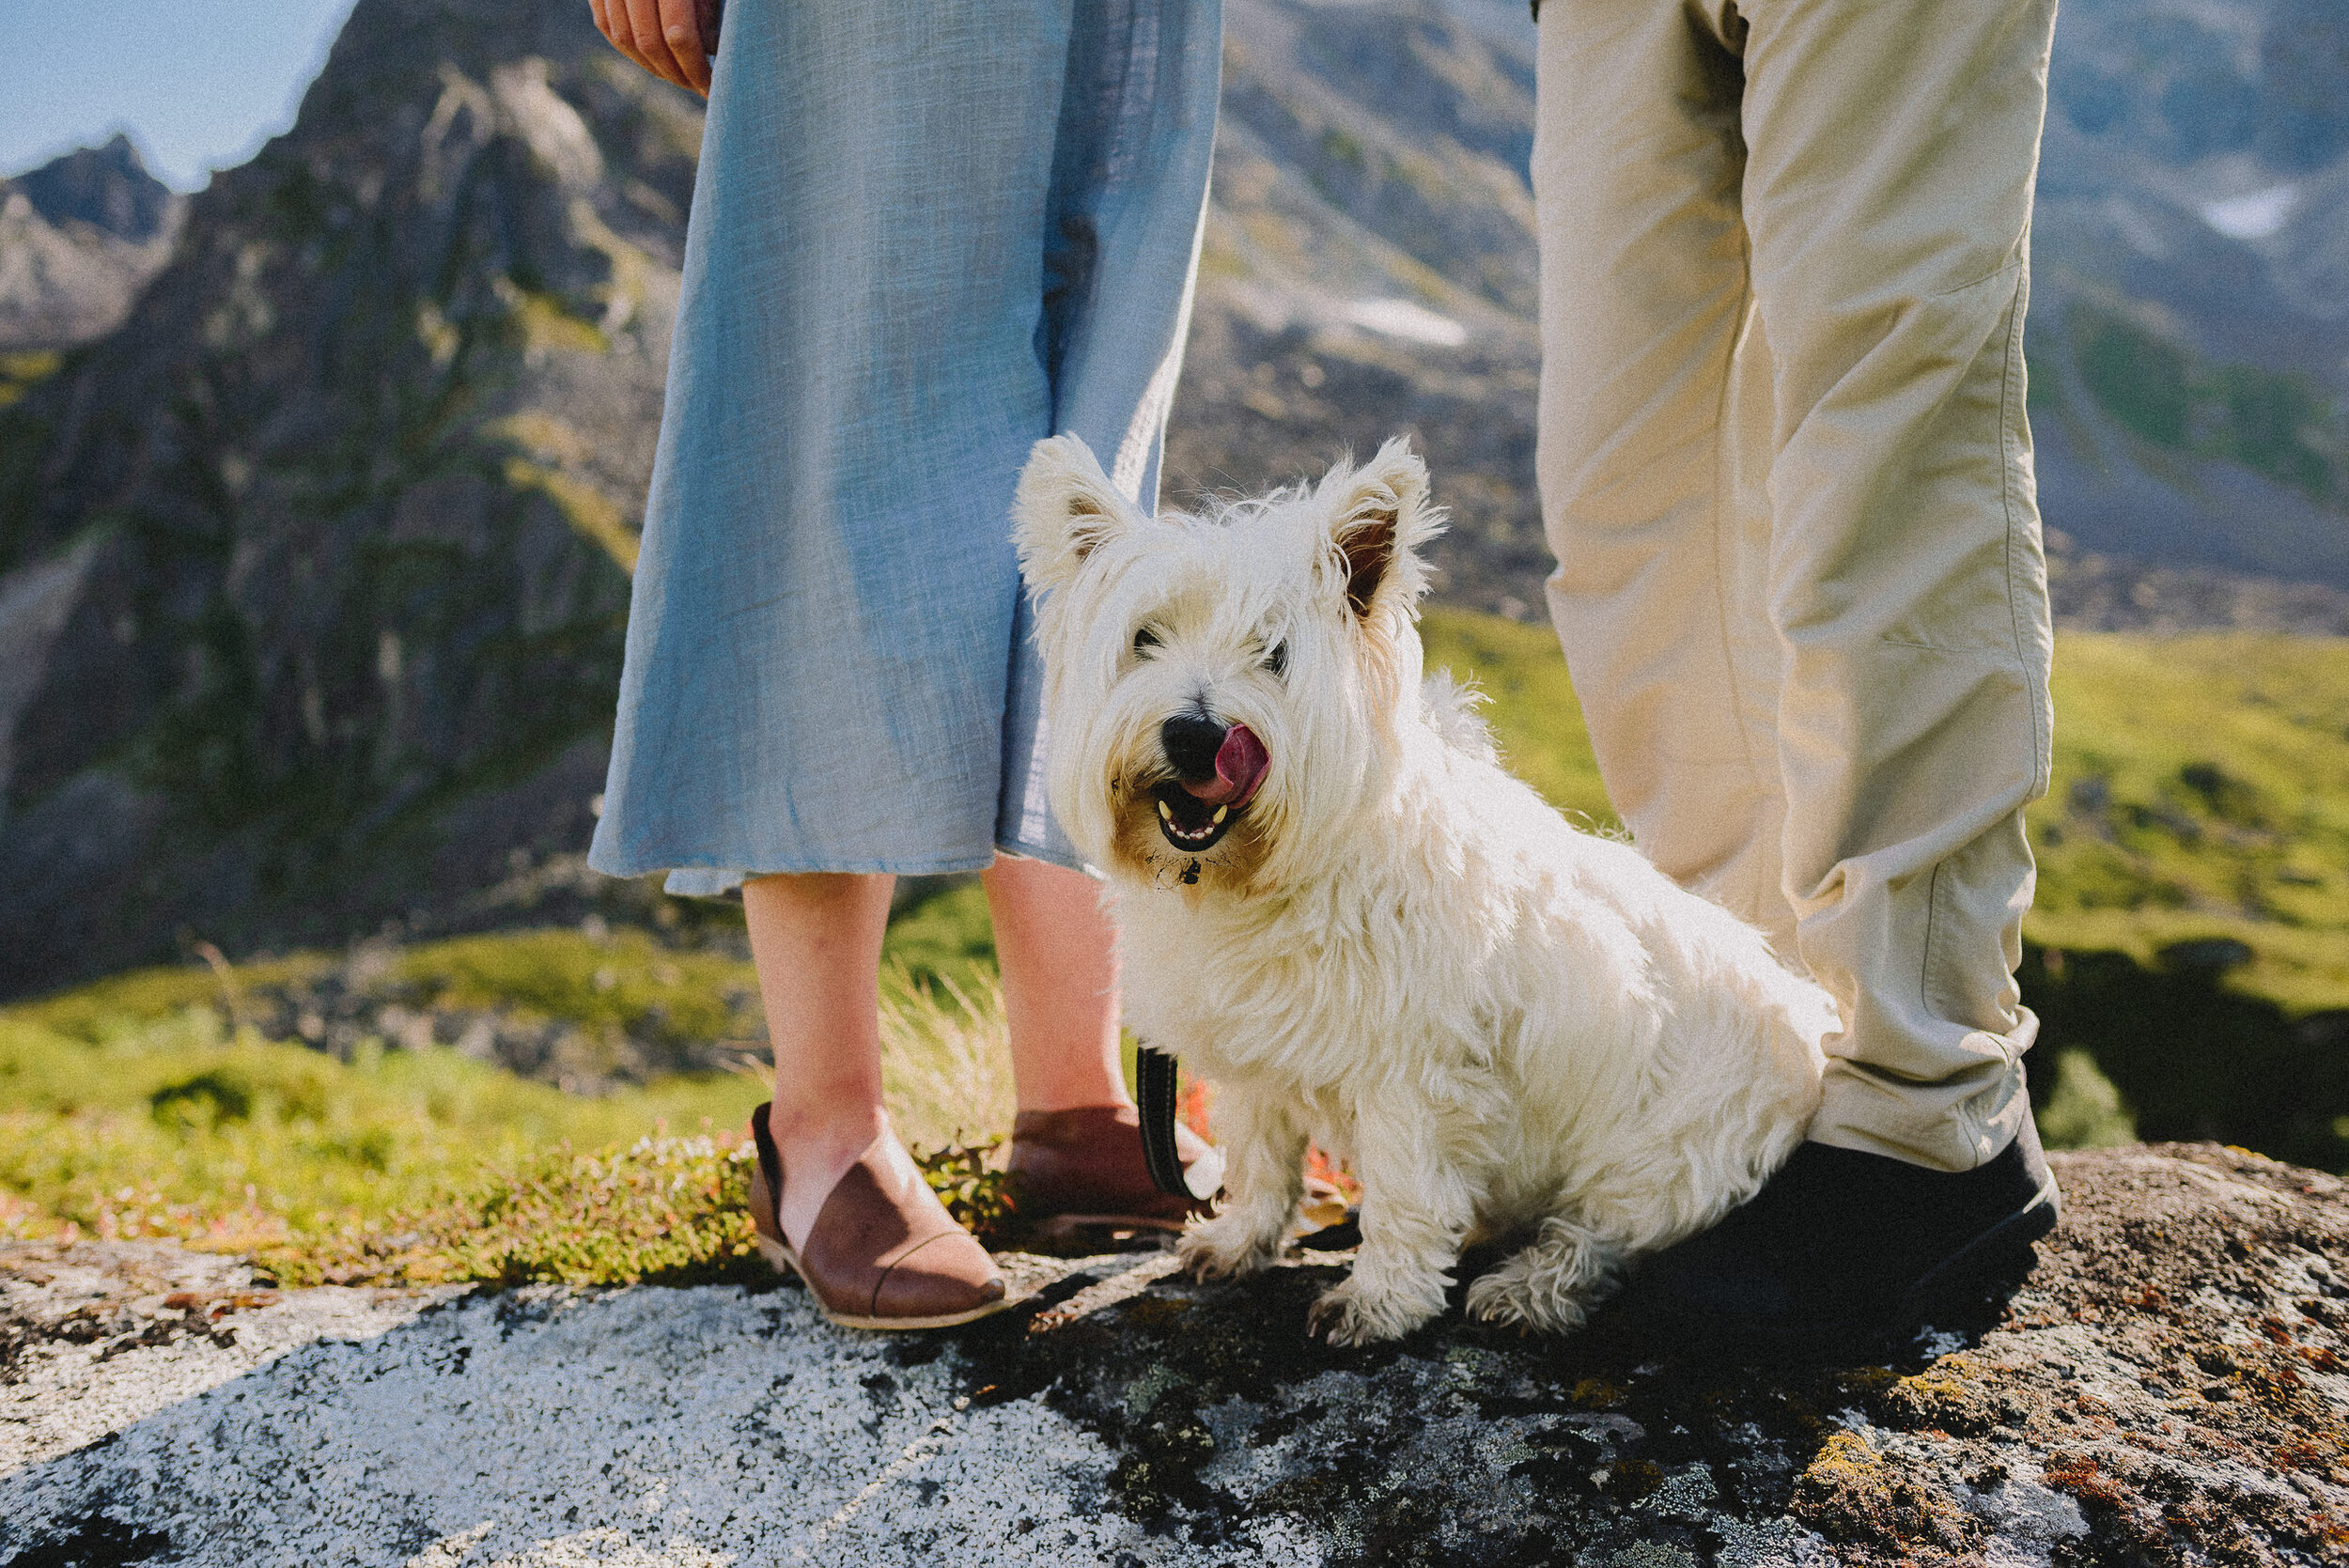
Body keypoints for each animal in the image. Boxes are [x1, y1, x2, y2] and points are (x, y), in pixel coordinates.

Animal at [1010, 431, 1832, 1352]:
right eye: (1145, 638)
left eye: (1277, 653)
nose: (1195, 735)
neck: (1272, 878)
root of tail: (1814, 1028)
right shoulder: (1255, 1051)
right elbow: (1261, 1156)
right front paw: (1238, 1240)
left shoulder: (1413, 1072)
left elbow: (1405, 1192)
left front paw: (1379, 1301)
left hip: (1667, 1152)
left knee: (1600, 1233)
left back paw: (1528, 1288)